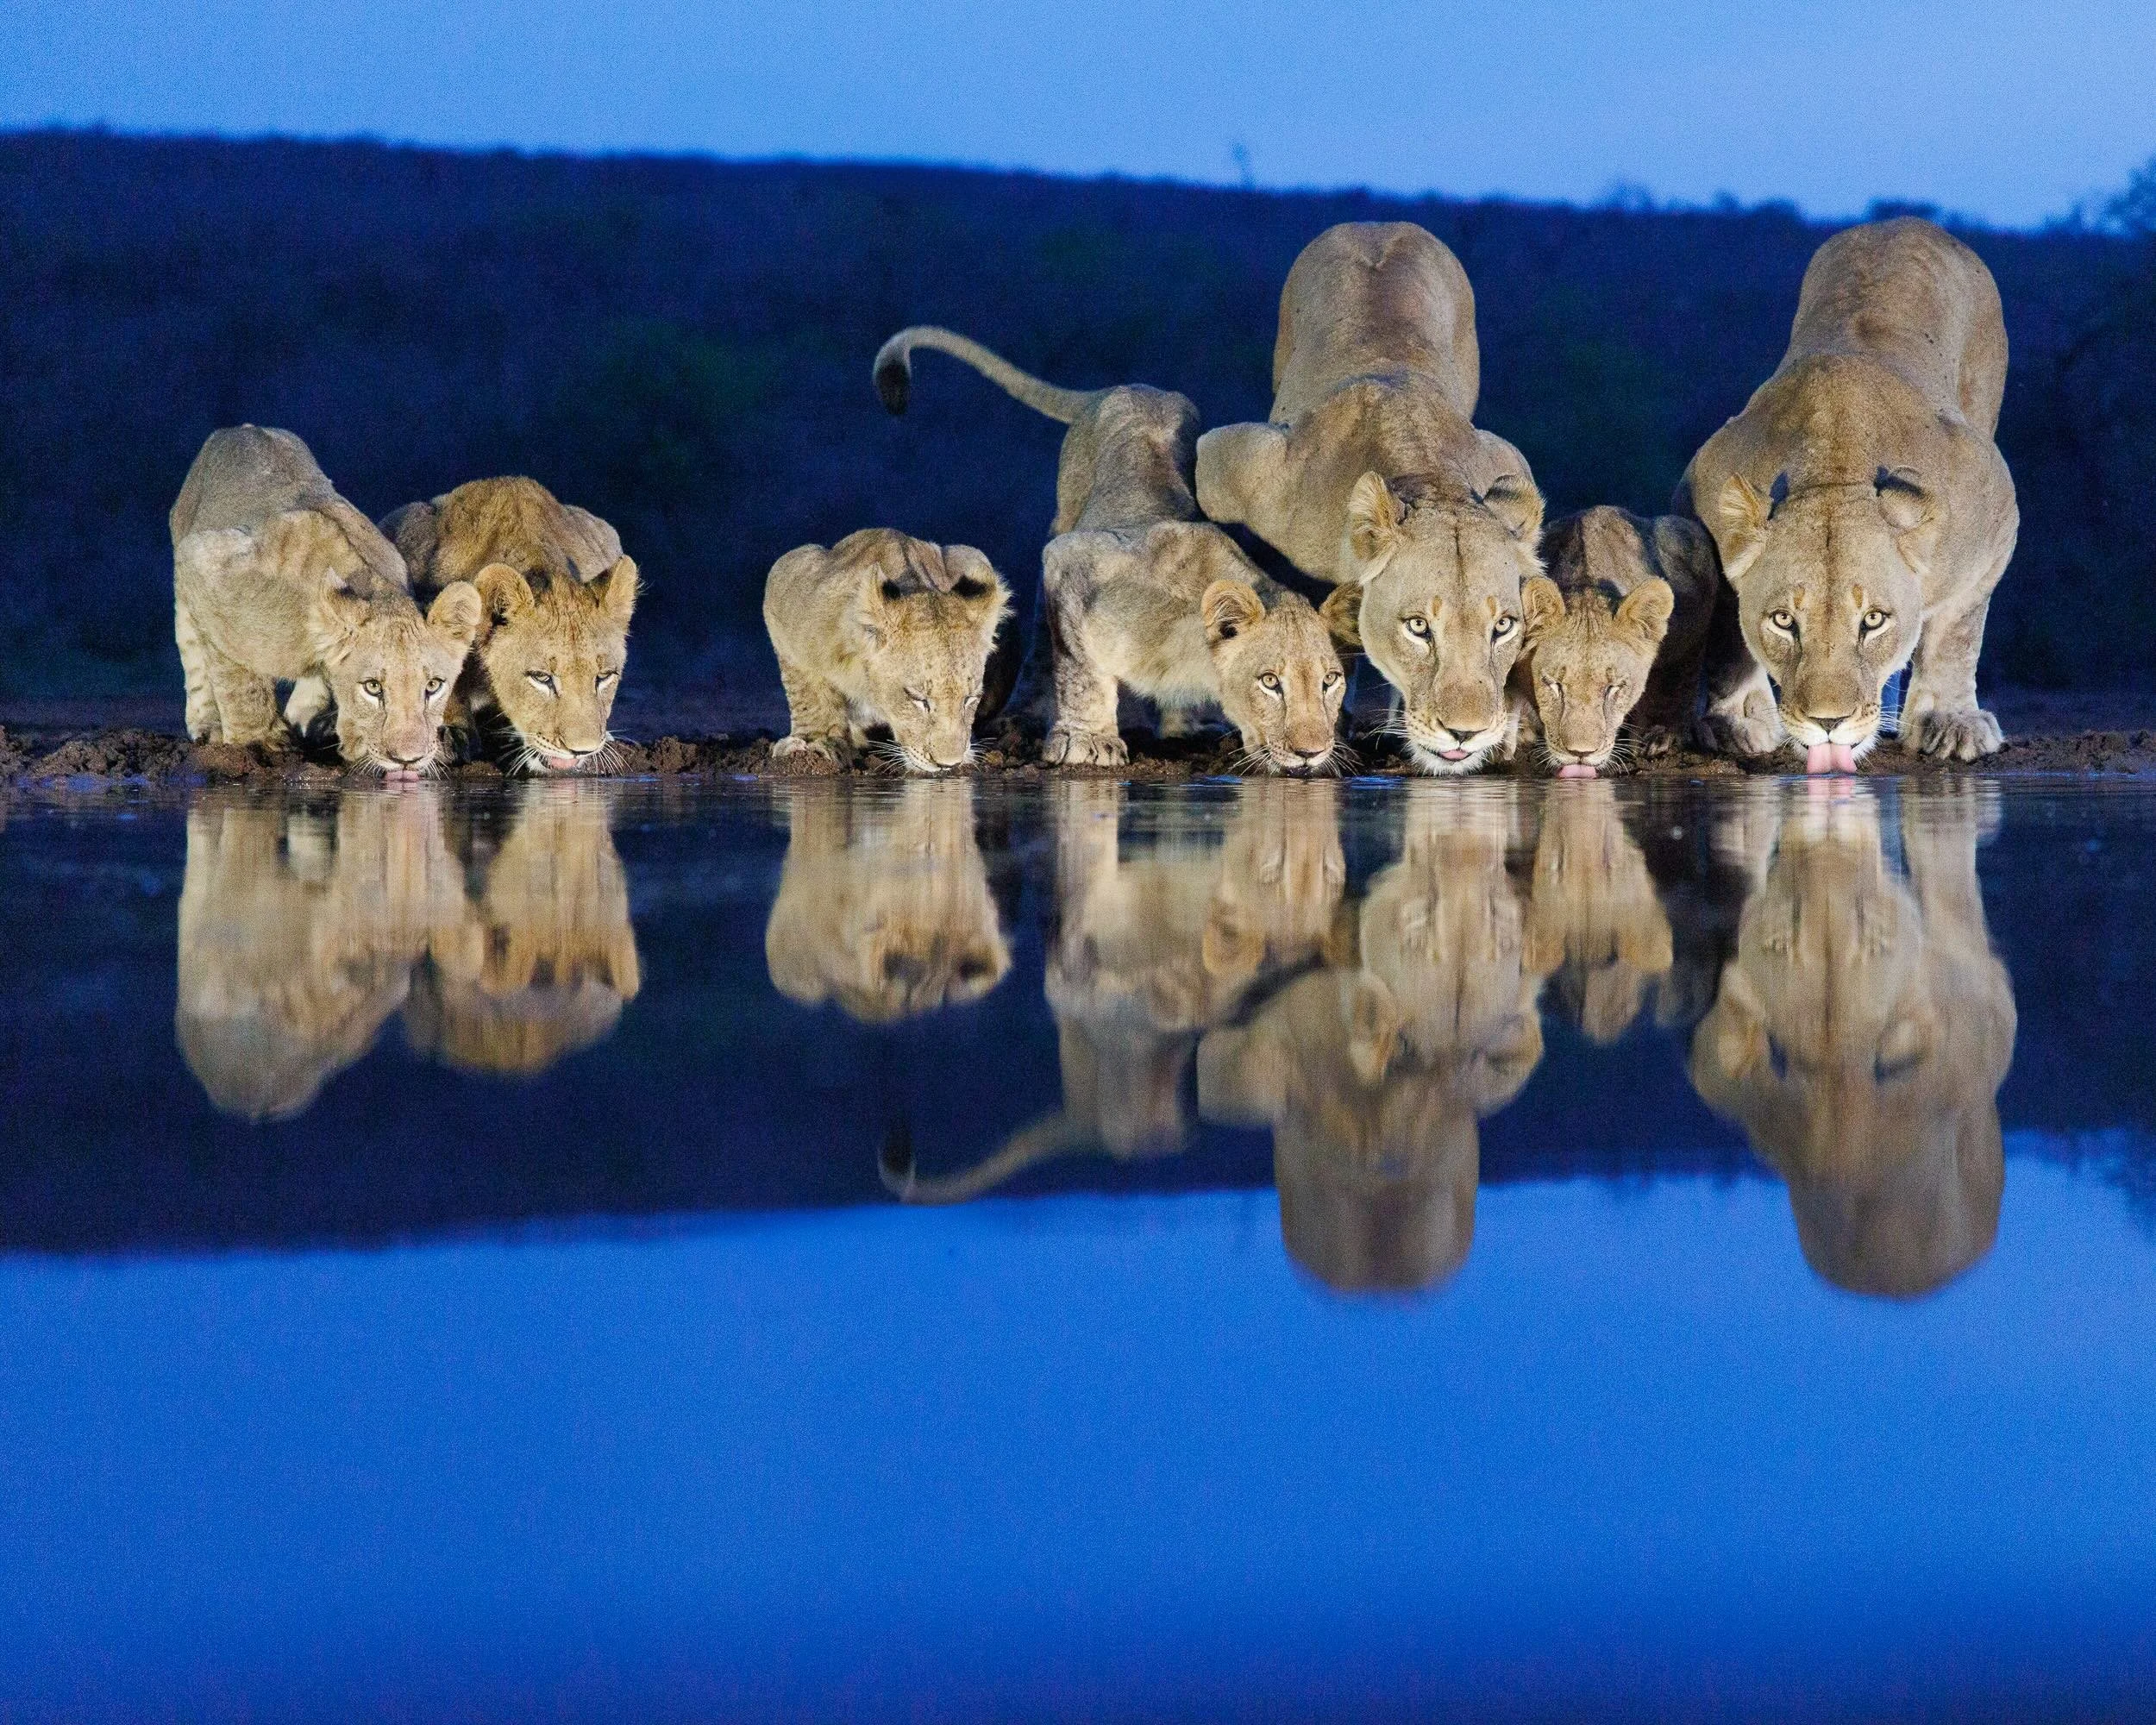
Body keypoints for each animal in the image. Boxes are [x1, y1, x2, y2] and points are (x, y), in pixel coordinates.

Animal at [171, 426, 480, 775]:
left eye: (433, 686)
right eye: (373, 687)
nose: (408, 760)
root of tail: (238, 429)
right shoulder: (205, 560)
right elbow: (239, 680)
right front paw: (259, 742)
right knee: (193, 651)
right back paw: (207, 724)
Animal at [763, 529, 1012, 773]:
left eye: (969, 699)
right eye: (917, 698)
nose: (948, 764)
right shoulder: (788, 579)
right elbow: (808, 691)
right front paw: (820, 741)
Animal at [873, 328, 1346, 771]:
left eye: (1330, 681)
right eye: (1270, 682)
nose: (1312, 753)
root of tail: (1129, 387)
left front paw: (1187, 725)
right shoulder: (1073, 562)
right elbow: (1081, 673)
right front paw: (1089, 740)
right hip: (1063, 522)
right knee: (1042, 643)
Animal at [1193, 223, 1546, 773]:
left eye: (1503, 627)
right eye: (1419, 627)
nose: (1465, 733)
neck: (1426, 473)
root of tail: (1381, 225)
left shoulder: (1507, 464)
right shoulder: (1234, 462)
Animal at [1681, 218, 2019, 767]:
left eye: (1874, 621)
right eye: (1782, 621)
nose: (1828, 724)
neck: (1834, 468)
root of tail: (1903, 221)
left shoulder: (1996, 519)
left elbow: (1957, 633)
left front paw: (1952, 723)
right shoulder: (1703, 499)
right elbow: (1727, 638)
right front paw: (1738, 722)